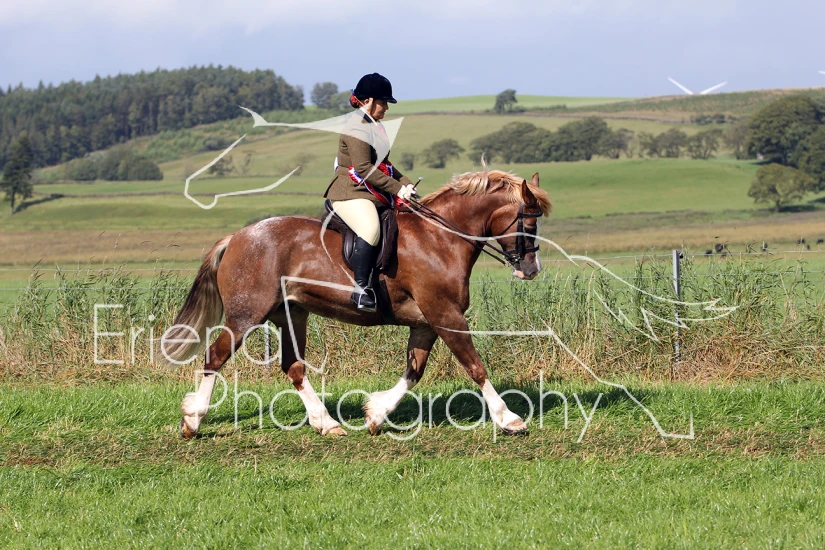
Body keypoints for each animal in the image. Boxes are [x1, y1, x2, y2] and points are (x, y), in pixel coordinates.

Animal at [164, 168, 552, 438]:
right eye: (527, 224)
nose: (531, 270)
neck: (439, 238)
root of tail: (236, 237)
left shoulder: (426, 322)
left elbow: (414, 372)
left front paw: (376, 414)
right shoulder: (446, 315)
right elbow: (475, 366)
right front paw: (509, 419)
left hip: (292, 314)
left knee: (294, 366)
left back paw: (326, 423)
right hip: (247, 315)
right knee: (216, 356)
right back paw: (193, 421)